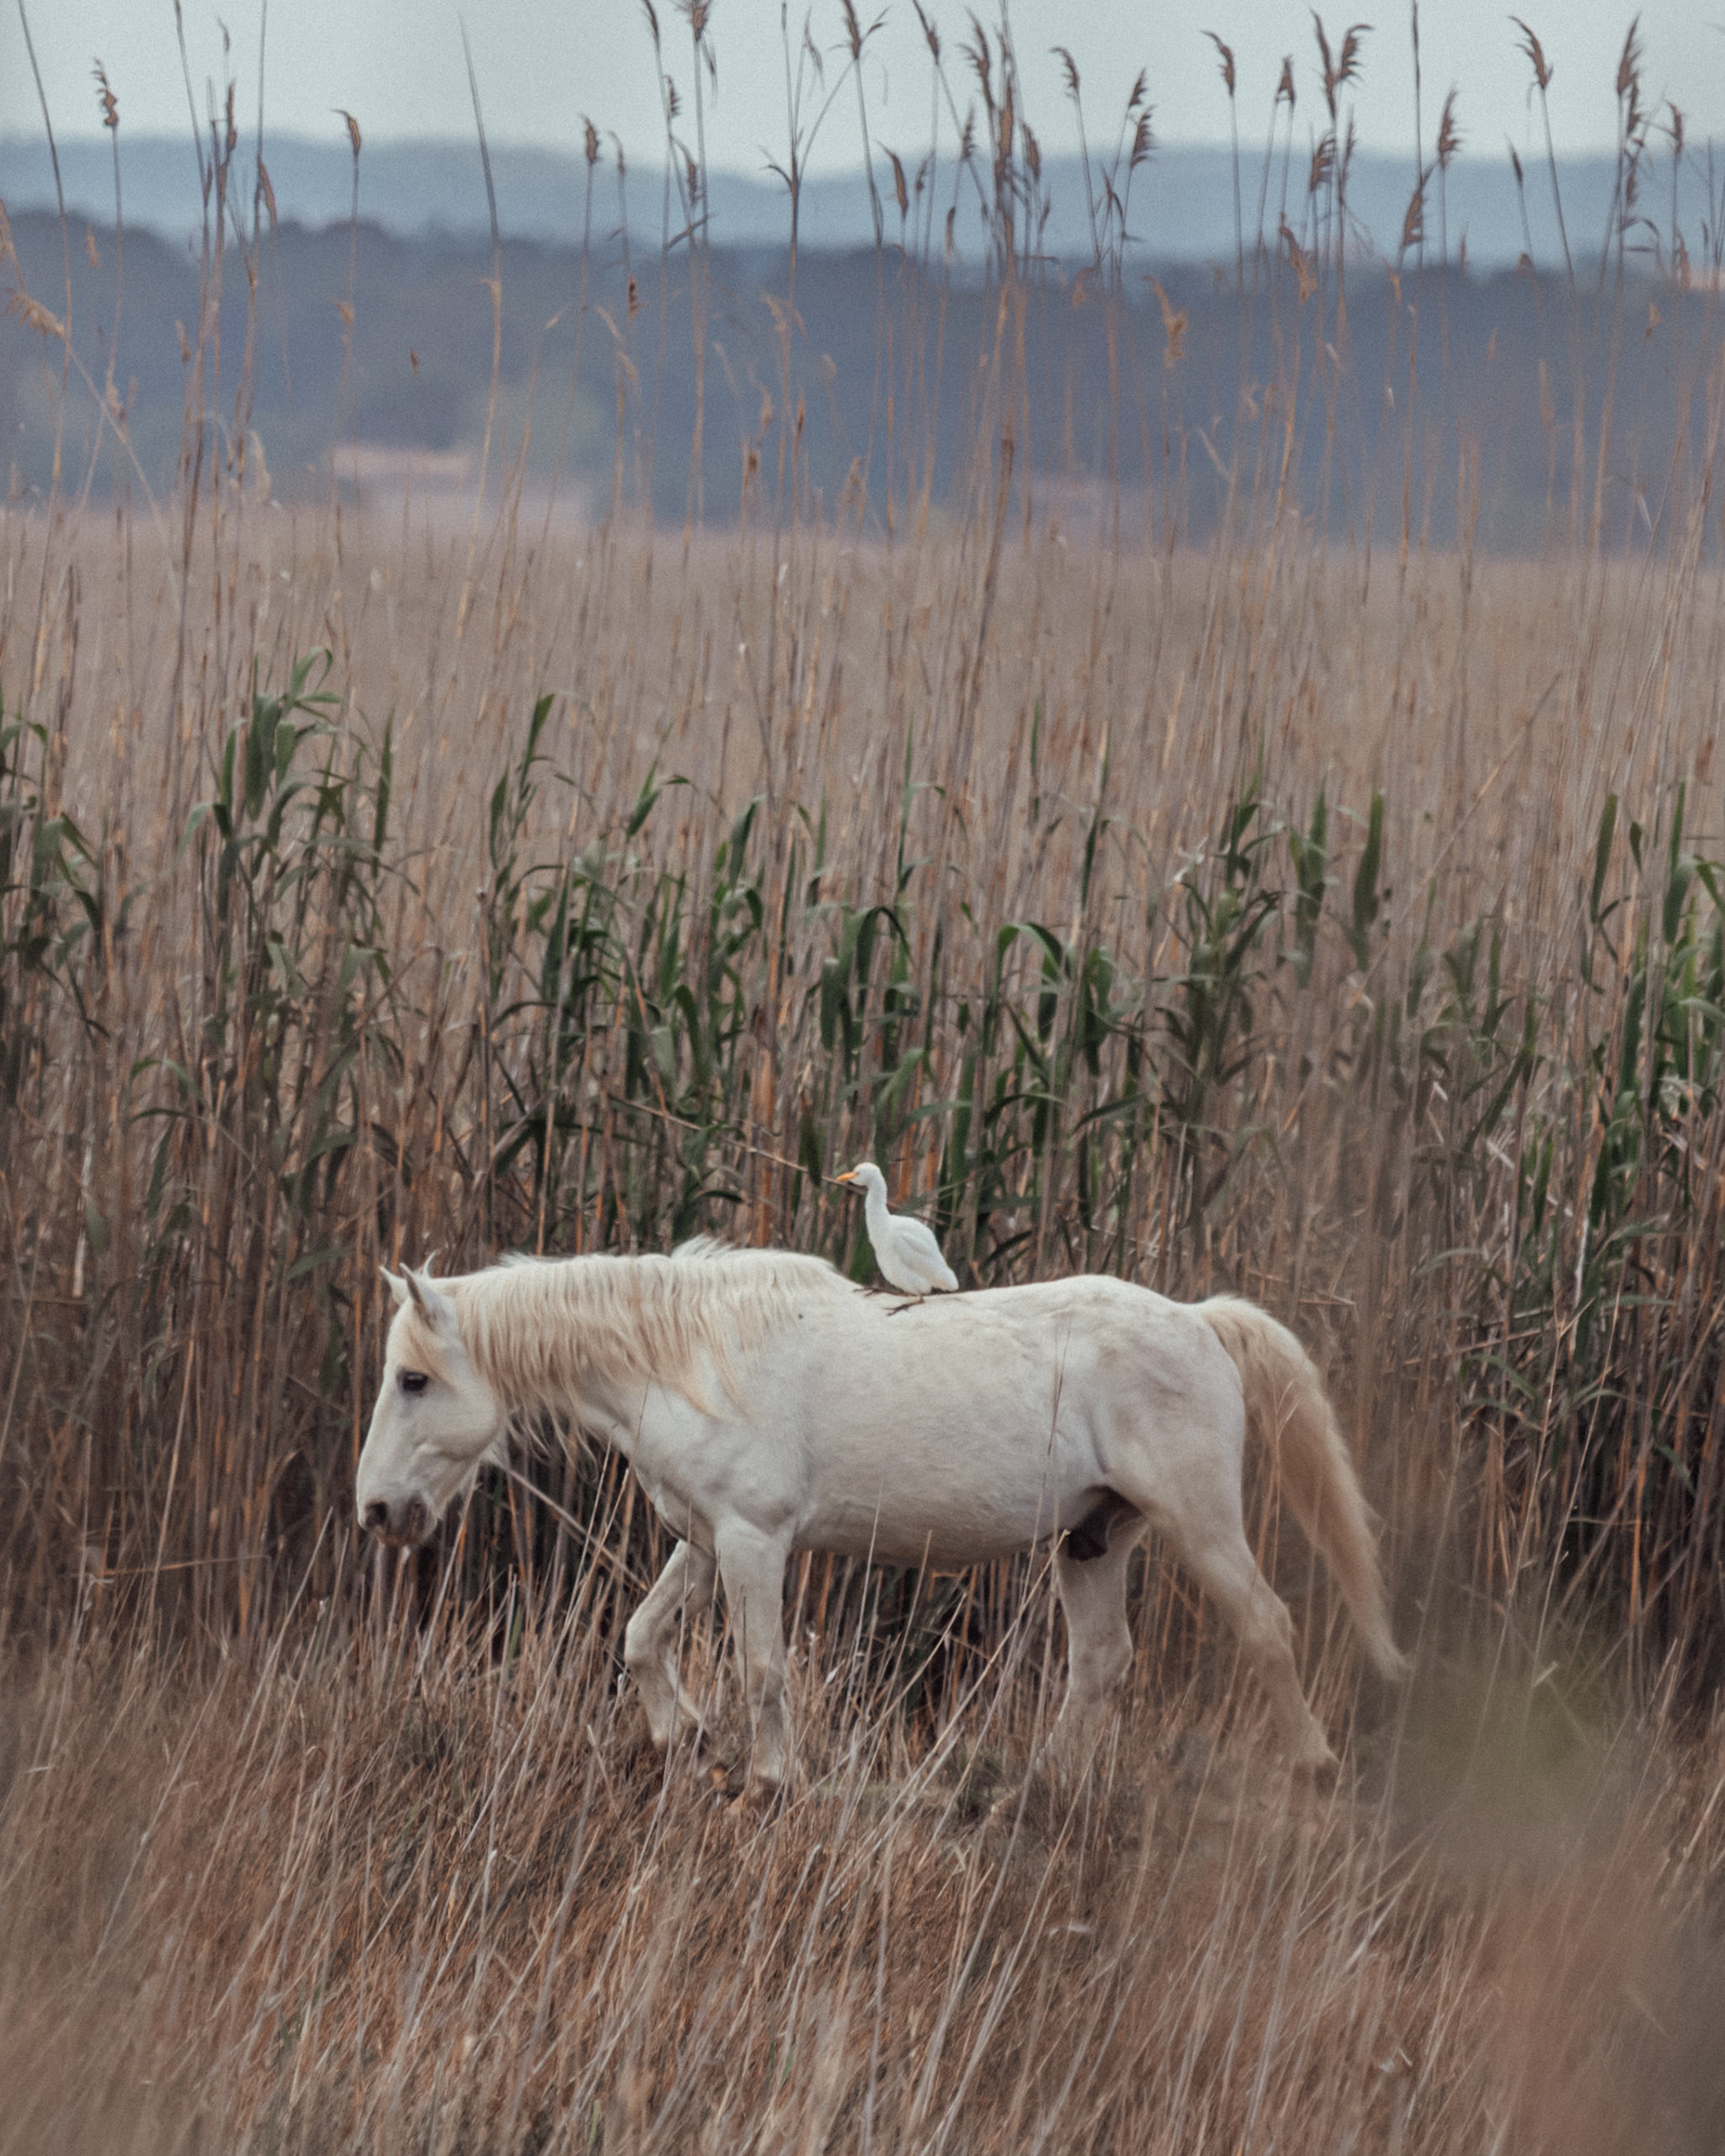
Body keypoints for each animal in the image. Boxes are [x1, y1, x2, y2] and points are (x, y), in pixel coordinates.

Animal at [355, 1242, 1405, 1789]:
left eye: (413, 1380)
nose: (376, 1511)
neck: (691, 1358)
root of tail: (1198, 1319)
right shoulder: (706, 1538)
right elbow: (643, 1635)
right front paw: (679, 1735)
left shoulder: (754, 1540)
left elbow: (762, 1667)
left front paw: (770, 1781)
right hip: (1095, 1539)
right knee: (1101, 1663)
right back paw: (1044, 1785)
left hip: (1200, 1523)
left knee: (1265, 1626)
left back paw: (1313, 1771)